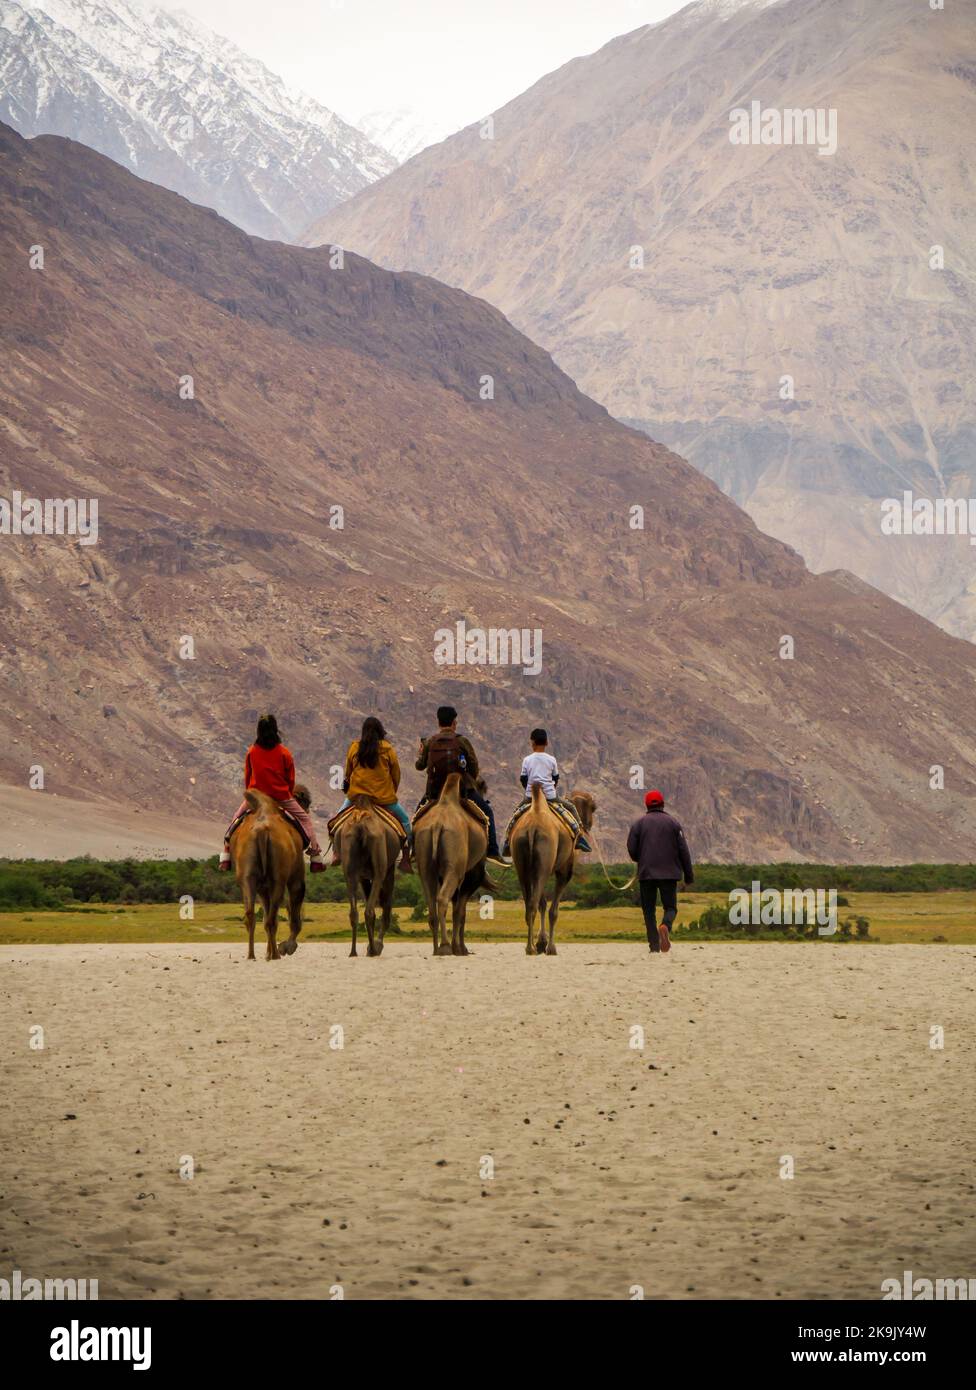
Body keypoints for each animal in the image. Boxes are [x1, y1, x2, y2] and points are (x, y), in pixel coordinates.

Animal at [229, 789, 305, 961]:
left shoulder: (262, 888)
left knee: (251, 915)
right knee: (272, 918)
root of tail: (262, 831)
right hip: (278, 877)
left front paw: (270, 952)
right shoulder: (296, 875)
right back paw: (275, 955)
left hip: (248, 875)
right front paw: (286, 947)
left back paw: (252, 955)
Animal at [332, 795, 400, 956]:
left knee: (354, 913)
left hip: (349, 863)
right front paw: (377, 945)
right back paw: (373, 950)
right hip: (380, 864)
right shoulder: (389, 869)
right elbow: (386, 909)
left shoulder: (363, 875)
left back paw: (353, 952)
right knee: (370, 911)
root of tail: (360, 826)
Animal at [411, 772, 489, 956]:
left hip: (424, 857)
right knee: (443, 898)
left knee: (431, 902)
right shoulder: (472, 874)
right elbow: (460, 912)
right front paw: (460, 948)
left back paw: (436, 948)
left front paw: (459, 947)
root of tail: (437, 825)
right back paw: (446, 946)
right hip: (455, 865)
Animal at [511, 783, 595, 956]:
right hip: (544, 860)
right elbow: (553, 911)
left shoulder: (537, 870)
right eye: (593, 807)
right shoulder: (564, 870)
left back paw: (530, 947)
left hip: (523, 864)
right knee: (534, 904)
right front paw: (550, 947)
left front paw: (541, 942)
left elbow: (543, 903)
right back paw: (531, 948)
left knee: (529, 904)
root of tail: (532, 827)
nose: (589, 824)